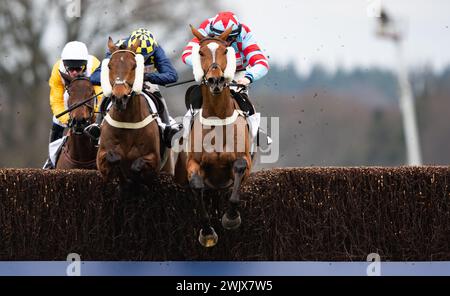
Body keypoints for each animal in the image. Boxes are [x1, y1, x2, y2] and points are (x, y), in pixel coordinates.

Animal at [175, 26, 253, 247]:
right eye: (200, 52)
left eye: (225, 50)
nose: (215, 80)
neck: (218, 117)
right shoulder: (193, 163)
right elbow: (196, 185)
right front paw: (208, 232)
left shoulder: (245, 160)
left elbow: (239, 168)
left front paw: (231, 218)